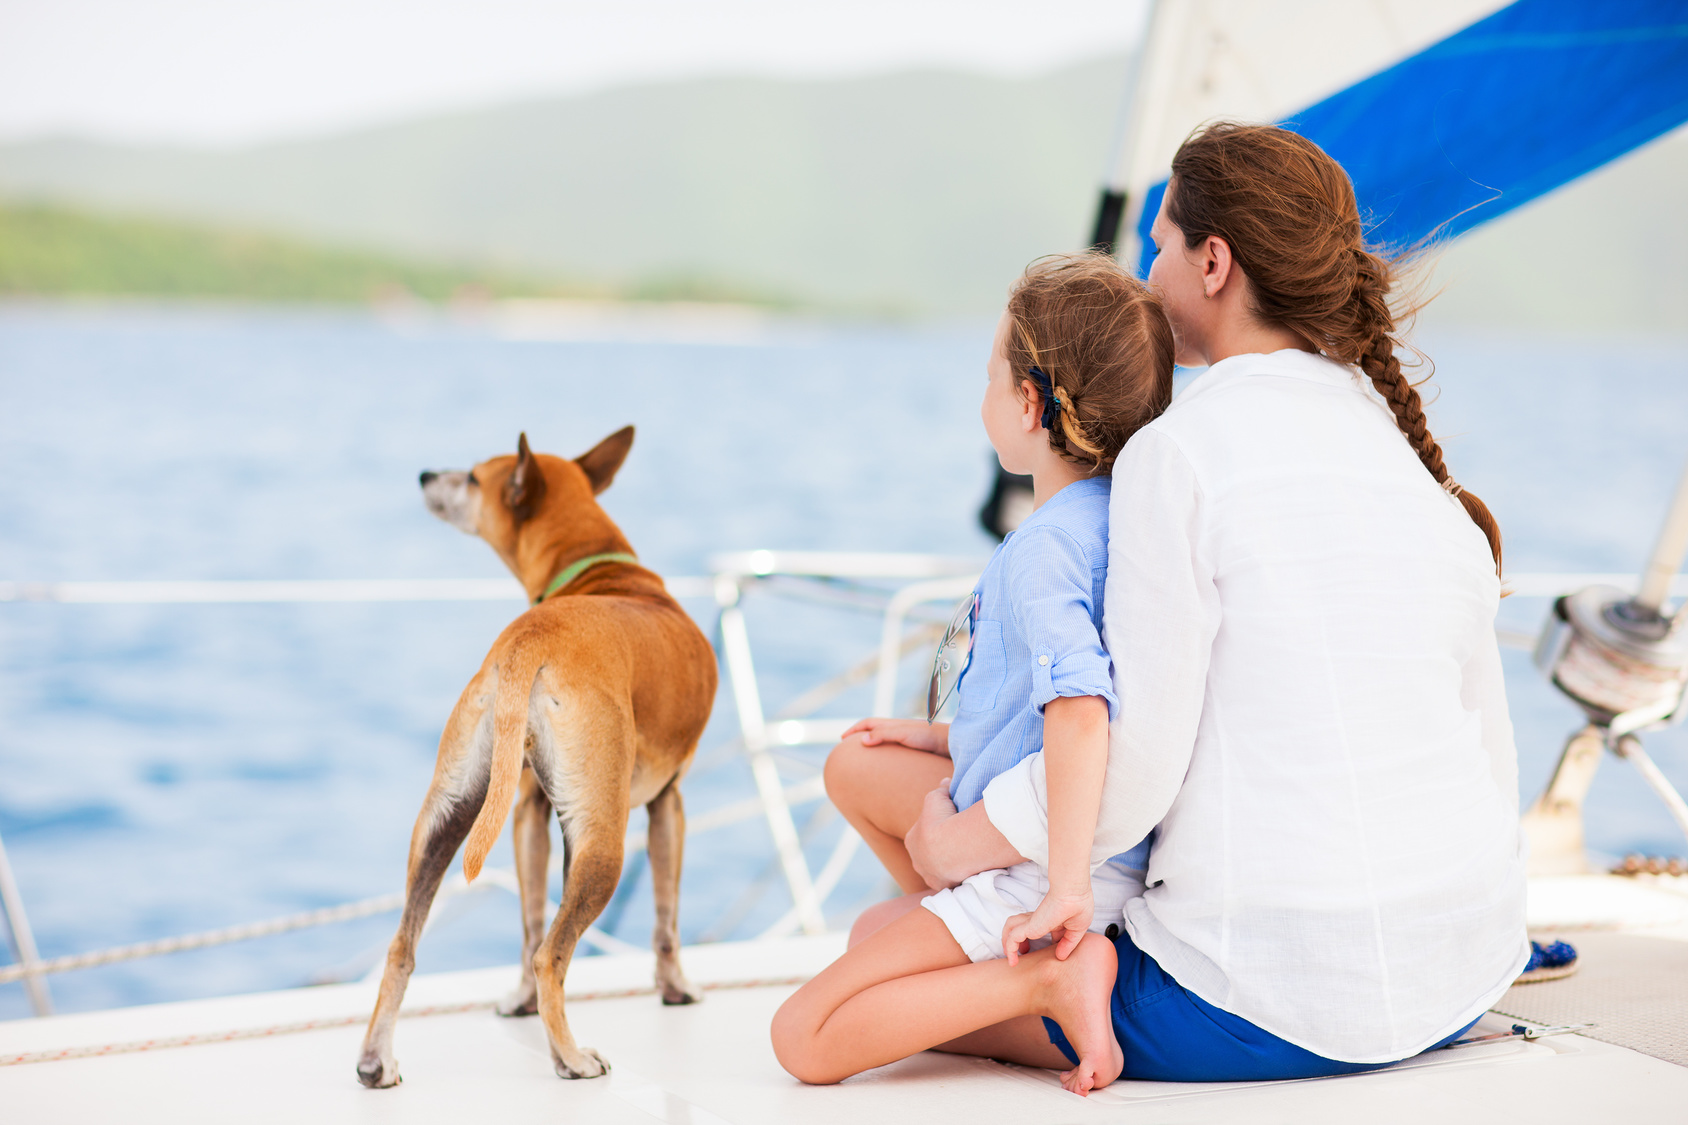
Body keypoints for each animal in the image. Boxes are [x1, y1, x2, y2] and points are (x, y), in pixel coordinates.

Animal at [359, 425, 715, 1081]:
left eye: (474, 477)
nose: (425, 475)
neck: (599, 570)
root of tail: (529, 641)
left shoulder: (525, 808)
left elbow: (526, 920)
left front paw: (519, 1005)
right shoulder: (669, 803)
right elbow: (666, 916)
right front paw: (676, 989)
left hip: (447, 817)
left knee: (407, 943)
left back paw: (375, 1062)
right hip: (603, 839)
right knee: (554, 954)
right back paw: (571, 1057)